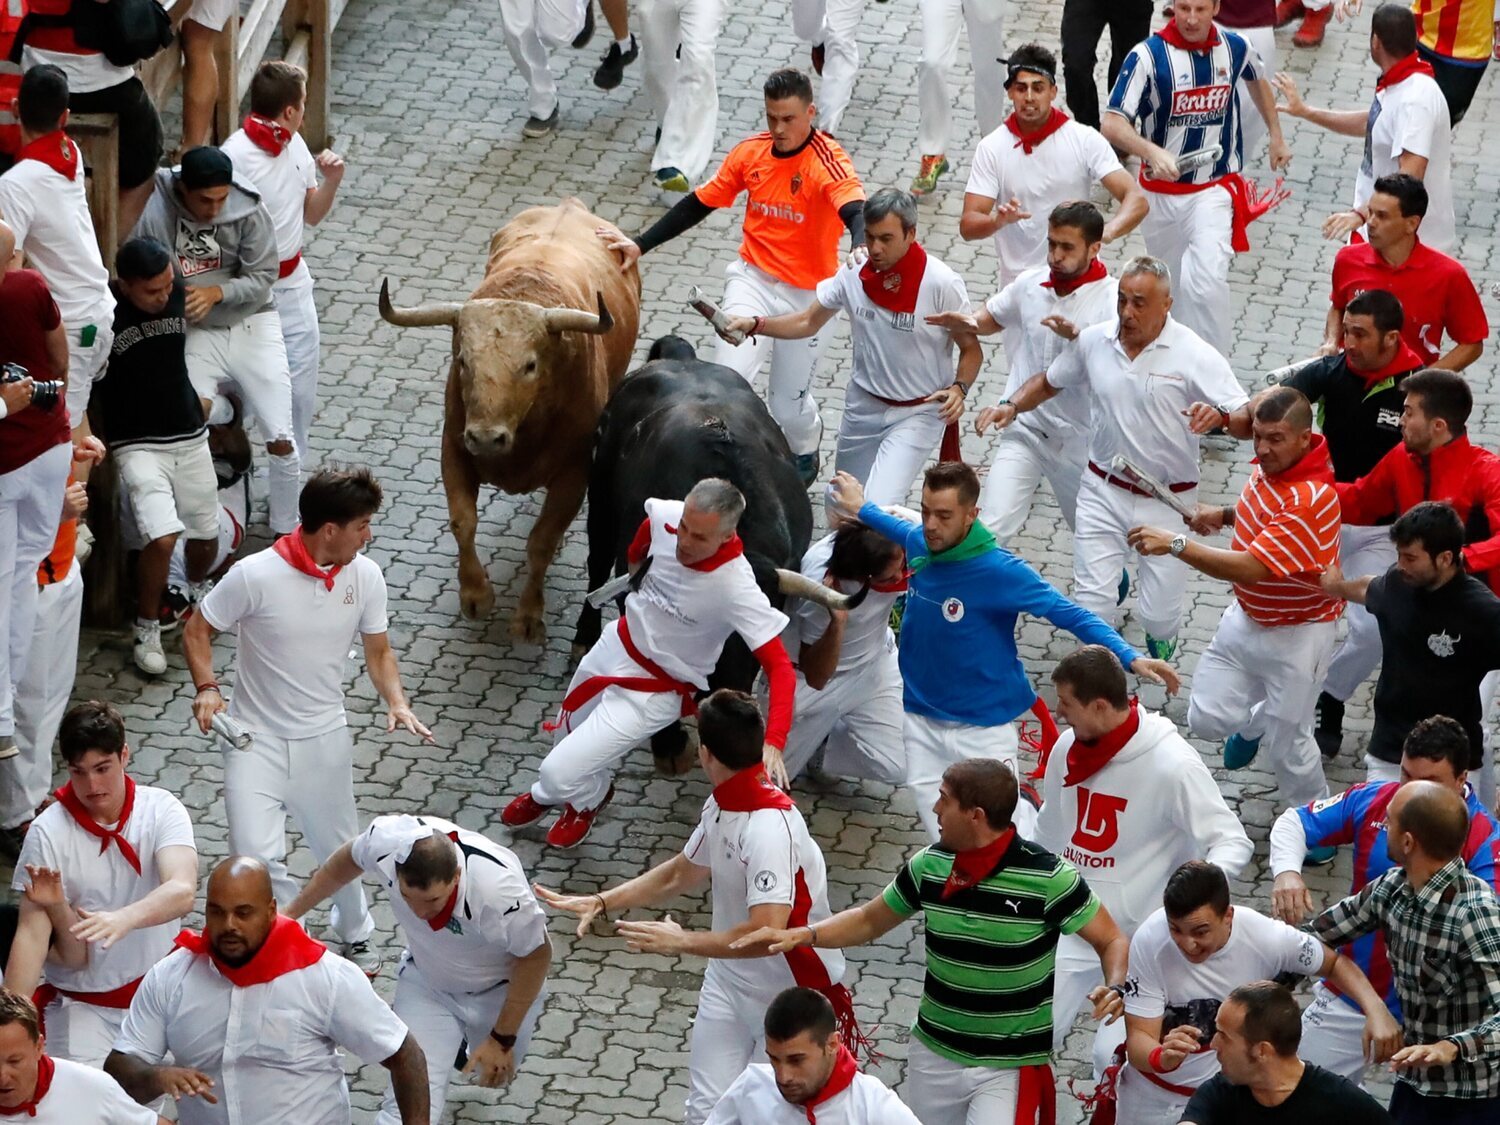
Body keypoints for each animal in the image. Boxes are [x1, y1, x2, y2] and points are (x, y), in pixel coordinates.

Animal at [381, 201, 639, 642]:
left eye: (530, 365)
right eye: (463, 360)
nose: (487, 438)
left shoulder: (574, 473)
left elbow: (542, 541)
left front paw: (529, 615)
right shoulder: (454, 447)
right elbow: (463, 521)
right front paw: (475, 594)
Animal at [570, 352, 810, 774]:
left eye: (750, 636)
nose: (729, 700)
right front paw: (669, 745)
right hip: (599, 499)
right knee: (596, 561)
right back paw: (584, 638)